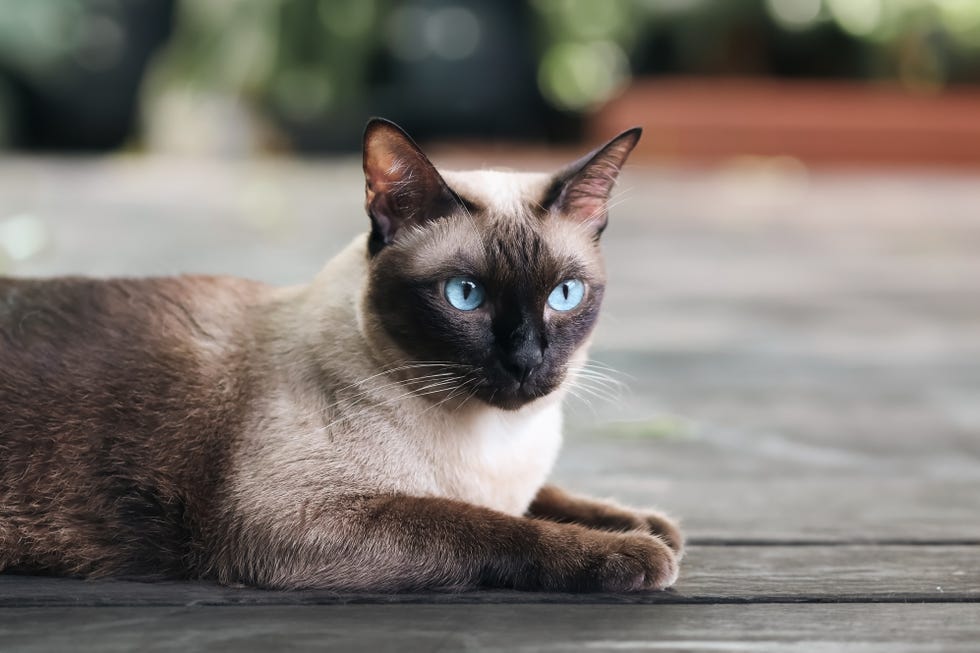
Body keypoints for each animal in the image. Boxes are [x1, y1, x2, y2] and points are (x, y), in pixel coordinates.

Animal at [0, 117, 684, 592]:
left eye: (565, 295)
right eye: (465, 295)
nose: (525, 360)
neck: (495, 443)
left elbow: (553, 499)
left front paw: (649, 525)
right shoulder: (300, 519)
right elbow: (485, 525)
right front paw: (638, 552)